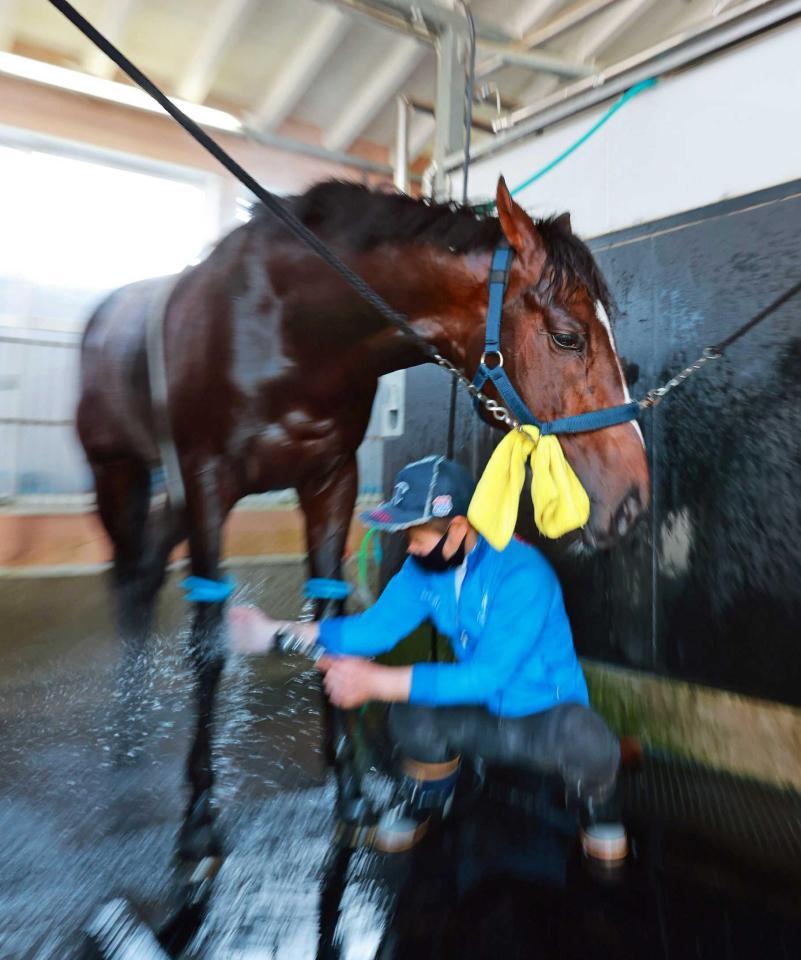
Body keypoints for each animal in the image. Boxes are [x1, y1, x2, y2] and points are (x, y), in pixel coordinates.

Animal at [75, 176, 648, 868]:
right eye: (567, 337)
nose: (633, 497)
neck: (286, 325)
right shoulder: (207, 481)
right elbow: (209, 644)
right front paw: (199, 815)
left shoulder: (331, 479)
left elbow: (331, 619)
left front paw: (349, 787)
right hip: (119, 474)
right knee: (128, 580)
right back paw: (125, 735)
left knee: (145, 572)